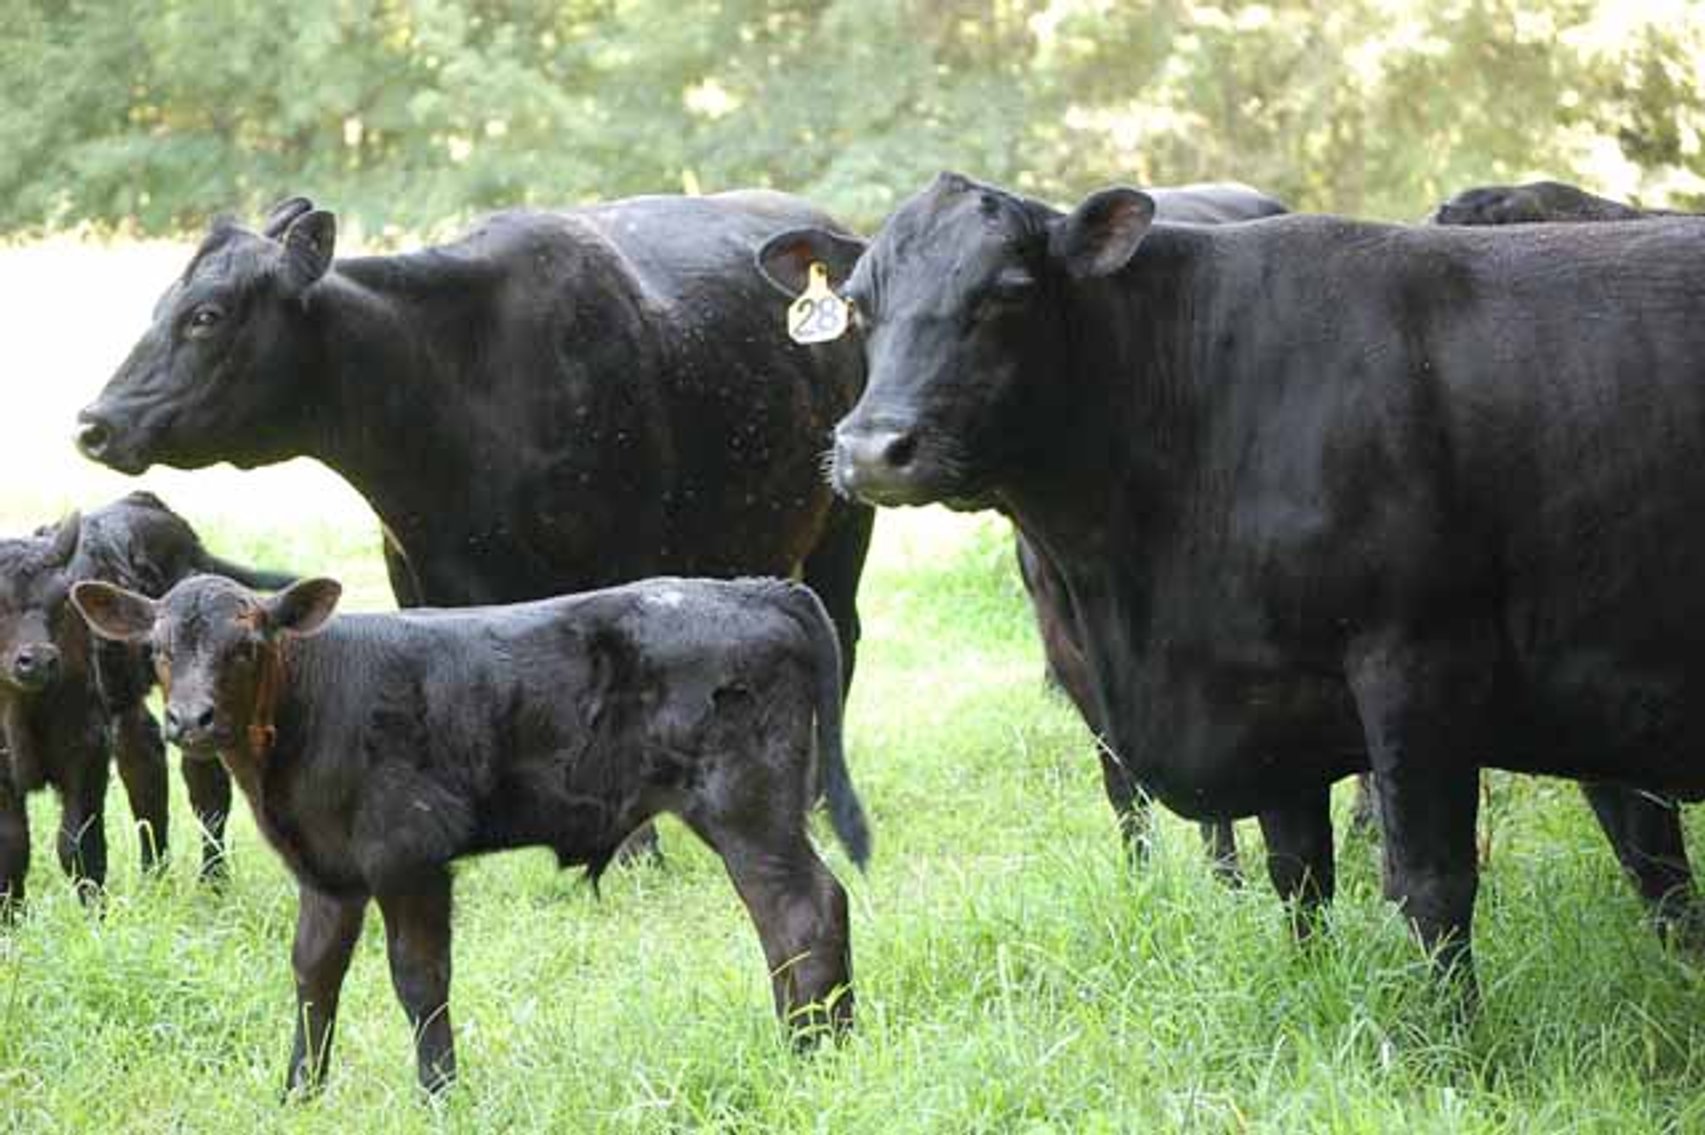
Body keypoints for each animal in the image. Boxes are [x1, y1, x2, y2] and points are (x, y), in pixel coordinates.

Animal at [0, 492, 294, 907]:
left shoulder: (87, 753)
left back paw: (212, 884)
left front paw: (95, 913)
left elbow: (78, 846)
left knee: (206, 790)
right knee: (143, 762)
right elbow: (12, 849)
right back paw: (156, 877)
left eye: (62, 601)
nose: (39, 660)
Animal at [73, 572, 869, 1094]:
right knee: (791, 923)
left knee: (804, 911)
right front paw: (298, 1093)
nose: (191, 719)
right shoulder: (329, 874)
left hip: (747, 806)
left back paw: (812, 1054)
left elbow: (419, 978)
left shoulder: (408, 854)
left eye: (246, 645)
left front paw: (439, 1092)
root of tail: (752, 589)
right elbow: (312, 974)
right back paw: (812, 1040)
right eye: (158, 648)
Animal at [768, 170, 1705, 994]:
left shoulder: (1416, 663)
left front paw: (1451, 1042)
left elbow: (1430, 885)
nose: (872, 448)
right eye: (859, 304)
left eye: (1006, 293)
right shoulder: (1265, 694)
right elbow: (1297, 873)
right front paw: (1313, 995)